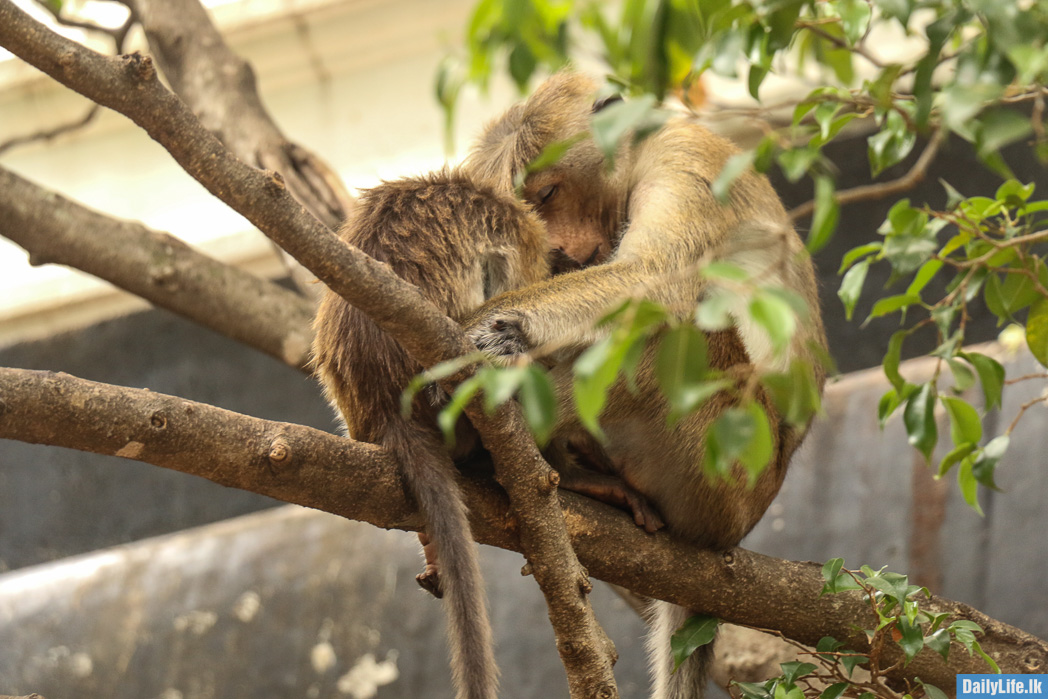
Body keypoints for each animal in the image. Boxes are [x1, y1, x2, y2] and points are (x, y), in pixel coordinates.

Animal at [460, 71, 829, 698]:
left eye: (549, 194)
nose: (556, 247)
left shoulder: (683, 160)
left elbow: (654, 276)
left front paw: (485, 327)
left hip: (721, 464)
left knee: (667, 323)